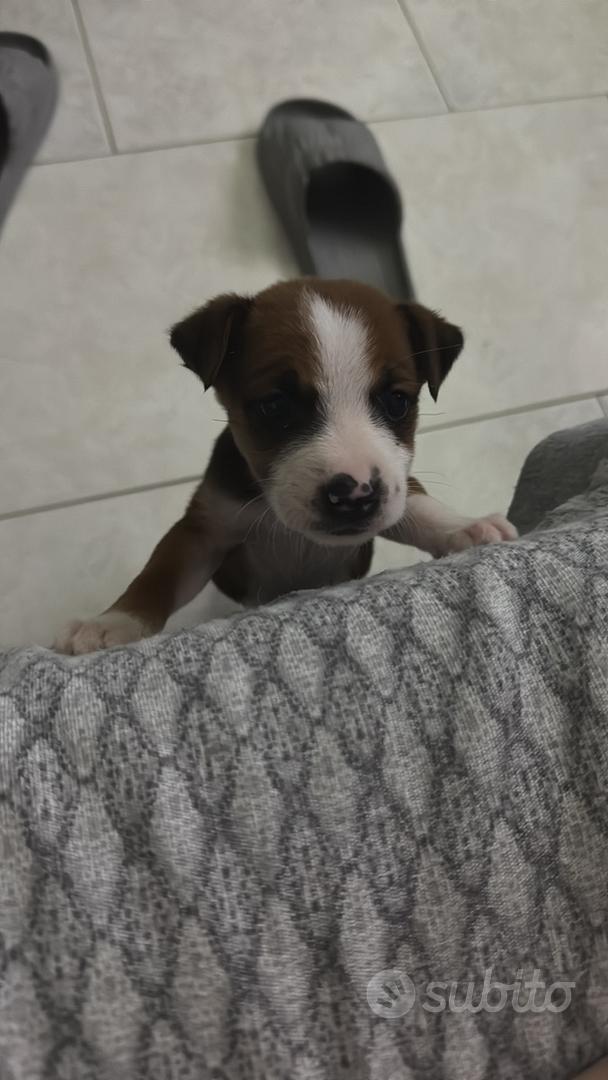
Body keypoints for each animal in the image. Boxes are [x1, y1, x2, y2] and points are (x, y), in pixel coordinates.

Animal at [55, 278, 517, 654]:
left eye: (397, 401)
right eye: (275, 406)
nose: (355, 494)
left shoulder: (397, 487)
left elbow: (420, 507)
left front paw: (466, 527)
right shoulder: (202, 532)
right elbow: (159, 575)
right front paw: (113, 622)